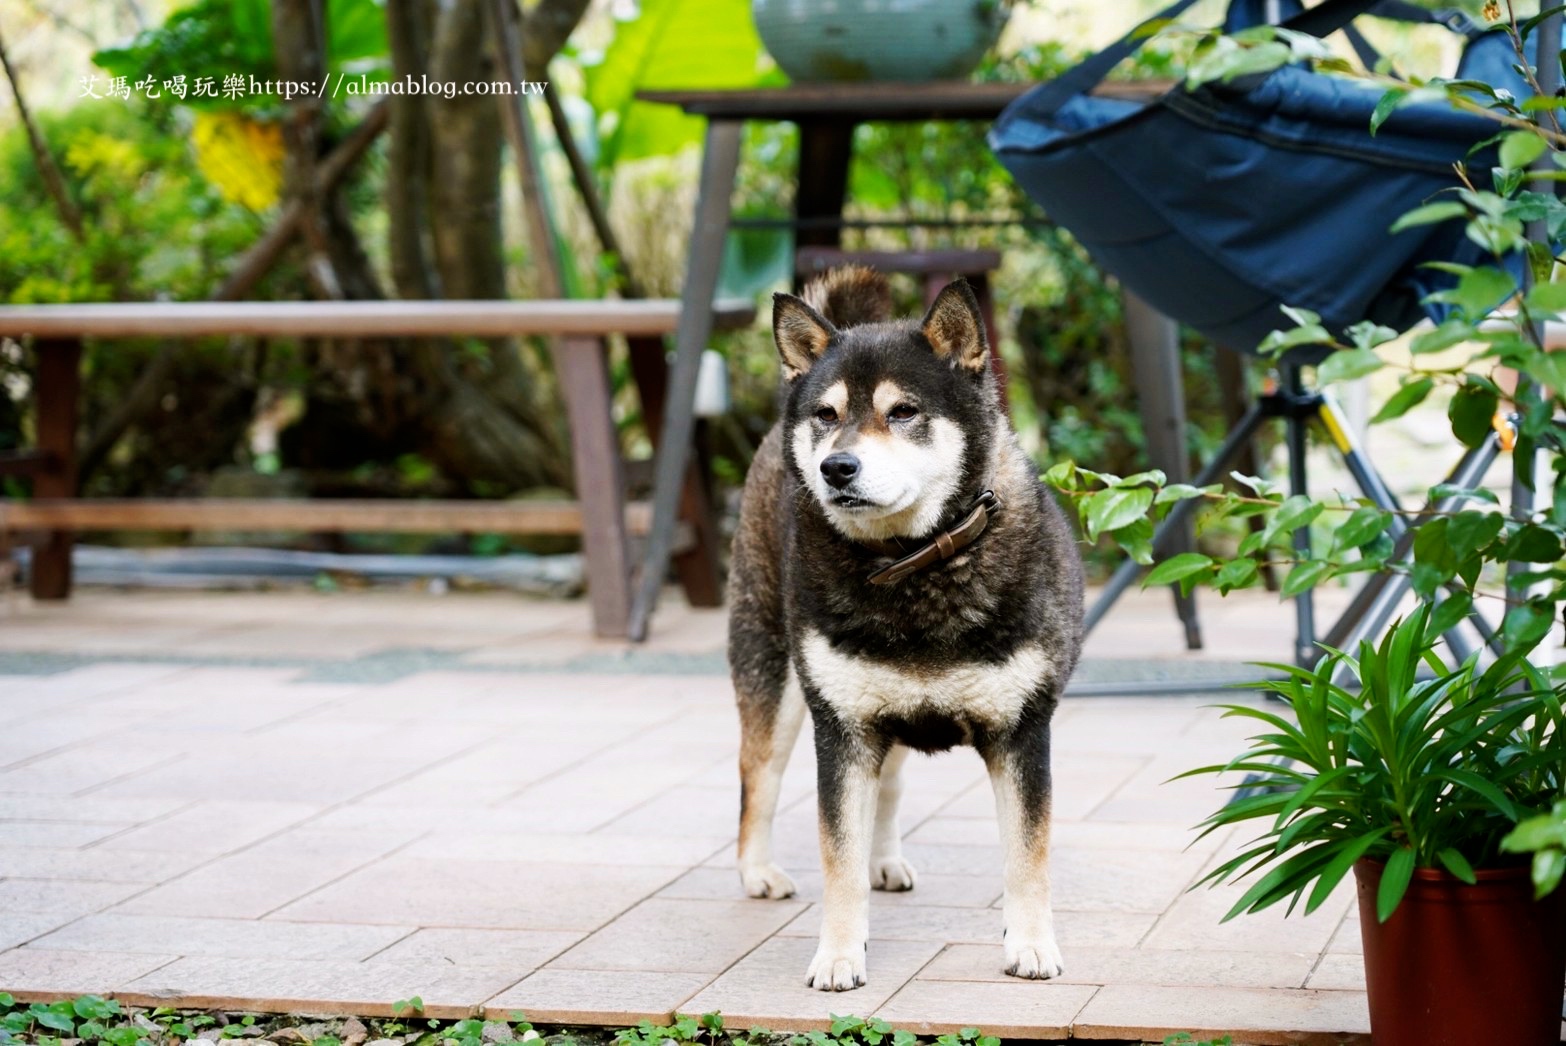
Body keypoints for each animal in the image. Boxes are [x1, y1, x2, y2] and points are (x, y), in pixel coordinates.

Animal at [723, 266, 1083, 995]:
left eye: (903, 412)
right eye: (827, 415)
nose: (836, 467)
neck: (913, 561)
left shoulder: (1022, 730)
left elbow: (1026, 856)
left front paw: (1032, 946)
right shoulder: (843, 729)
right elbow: (837, 857)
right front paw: (838, 955)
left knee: (887, 788)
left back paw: (883, 861)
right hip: (775, 684)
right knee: (757, 779)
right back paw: (758, 871)